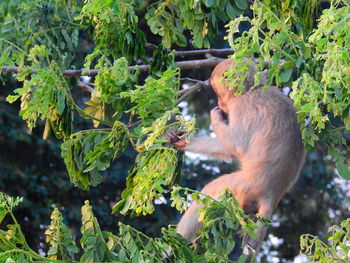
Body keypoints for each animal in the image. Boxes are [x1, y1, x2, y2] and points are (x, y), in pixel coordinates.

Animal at [167, 58, 306, 262]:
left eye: (218, 93)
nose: (218, 102)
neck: (251, 90)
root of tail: (272, 196)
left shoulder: (242, 107)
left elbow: (236, 146)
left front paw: (215, 116)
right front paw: (181, 139)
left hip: (242, 189)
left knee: (209, 193)